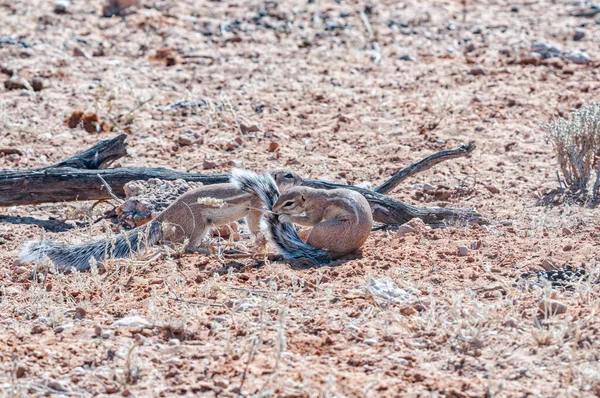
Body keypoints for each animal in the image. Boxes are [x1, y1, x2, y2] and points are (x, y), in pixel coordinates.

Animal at [19, 168, 302, 270]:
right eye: (289, 174)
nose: (300, 177)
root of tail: (164, 215)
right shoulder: (255, 206)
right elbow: (256, 226)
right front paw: (259, 244)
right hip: (196, 226)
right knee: (185, 246)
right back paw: (208, 248)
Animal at [232, 173, 372, 262]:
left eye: (289, 203)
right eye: (280, 194)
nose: (274, 209)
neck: (312, 195)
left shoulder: (316, 209)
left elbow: (311, 221)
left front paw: (285, 217)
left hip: (322, 229)